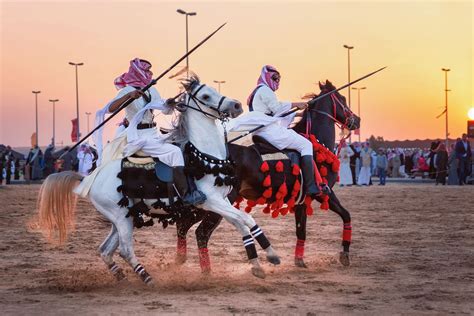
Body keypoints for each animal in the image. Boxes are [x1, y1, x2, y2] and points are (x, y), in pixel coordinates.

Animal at [38, 76, 282, 284]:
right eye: (205, 96)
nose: (237, 106)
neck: (205, 156)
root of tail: (89, 178)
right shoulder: (210, 201)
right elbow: (244, 219)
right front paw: (267, 258)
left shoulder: (221, 202)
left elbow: (241, 221)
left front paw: (263, 260)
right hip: (120, 216)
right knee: (125, 249)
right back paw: (146, 278)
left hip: (124, 216)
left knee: (105, 249)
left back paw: (122, 277)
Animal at [174, 81, 360, 272]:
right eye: (342, 99)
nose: (357, 120)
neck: (317, 145)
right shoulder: (324, 193)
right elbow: (346, 215)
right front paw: (345, 254)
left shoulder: (301, 201)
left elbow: (301, 230)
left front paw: (299, 260)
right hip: (218, 202)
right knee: (201, 232)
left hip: (204, 203)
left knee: (183, 225)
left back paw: (180, 261)